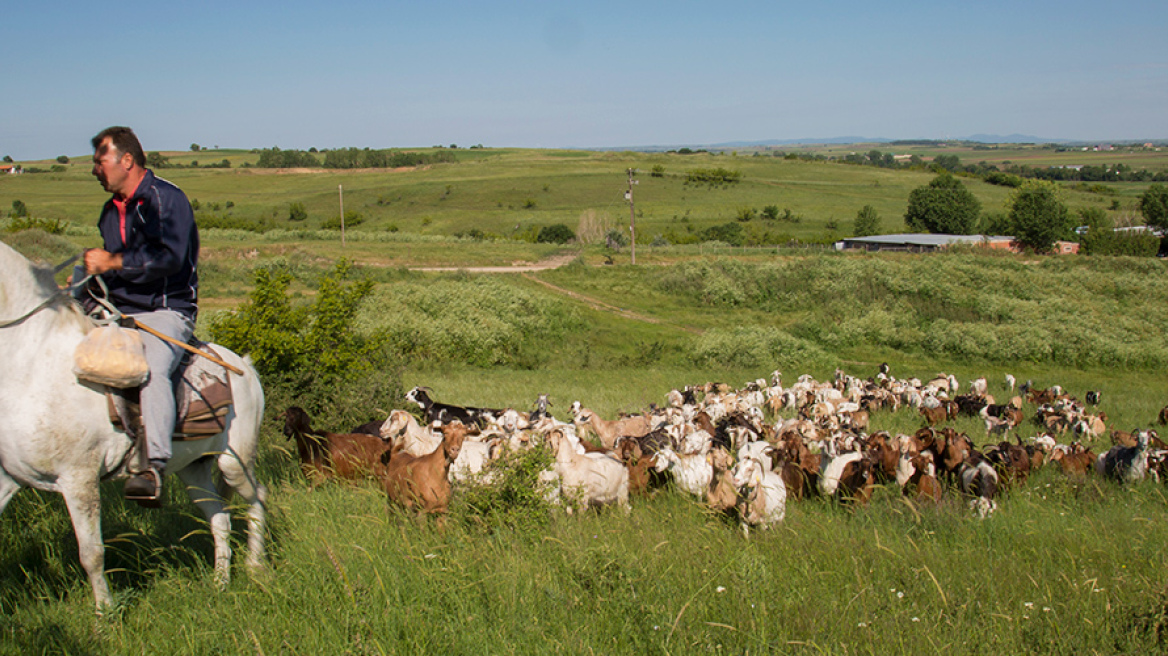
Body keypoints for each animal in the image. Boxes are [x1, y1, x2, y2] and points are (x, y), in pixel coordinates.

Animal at [0, 241, 267, 606]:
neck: (33, 364)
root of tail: (244, 365)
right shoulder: (9, 478)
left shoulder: (79, 479)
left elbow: (92, 553)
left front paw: (105, 614)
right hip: (193, 469)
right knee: (220, 517)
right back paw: (220, 582)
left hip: (234, 463)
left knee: (257, 499)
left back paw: (255, 568)